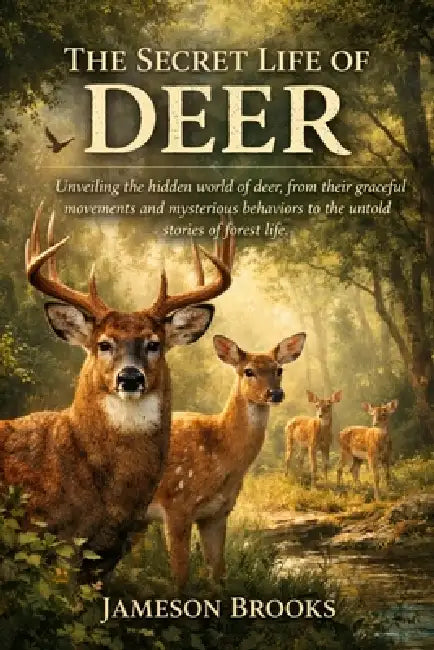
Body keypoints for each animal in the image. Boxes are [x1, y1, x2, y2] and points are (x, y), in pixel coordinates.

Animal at [146, 331, 306, 588]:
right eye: (248, 371)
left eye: (279, 369)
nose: (275, 394)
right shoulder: (176, 505)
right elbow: (180, 578)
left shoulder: (218, 513)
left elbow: (219, 574)